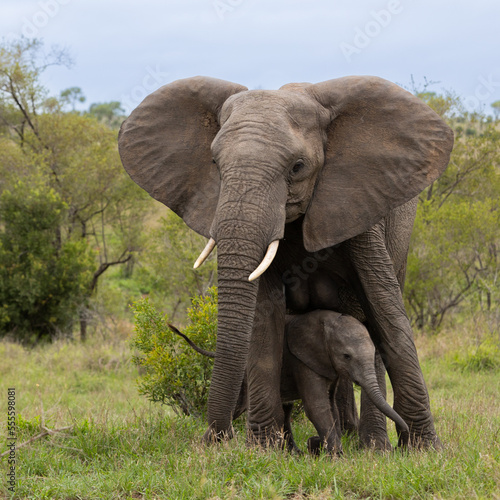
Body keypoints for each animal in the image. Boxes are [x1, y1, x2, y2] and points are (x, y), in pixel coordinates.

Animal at [170, 308, 408, 454]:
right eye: (346, 356)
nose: (400, 443)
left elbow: (330, 405)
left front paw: (323, 448)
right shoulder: (302, 359)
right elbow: (317, 406)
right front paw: (336, 455)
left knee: (285, 410)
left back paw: (295, 452)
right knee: (240, 407)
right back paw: (204, 448)